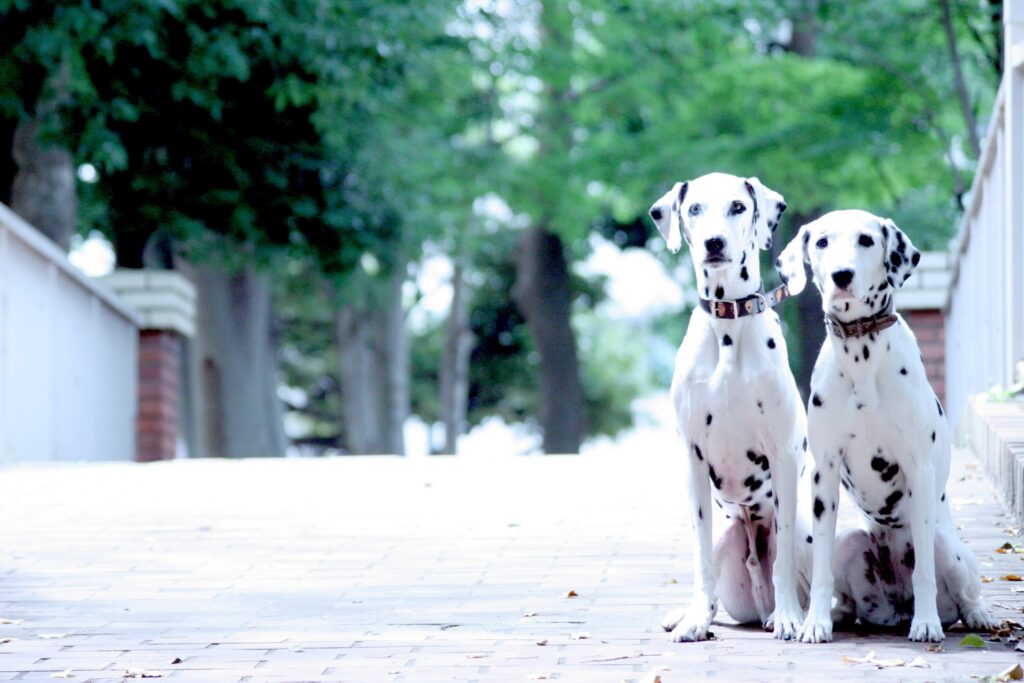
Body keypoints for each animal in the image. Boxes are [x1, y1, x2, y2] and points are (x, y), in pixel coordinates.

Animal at [651, 174, 811, 643]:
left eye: (739, 206)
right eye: (694, 209)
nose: (714, 242)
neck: (727, 328)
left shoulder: (783, 454)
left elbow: (784, 558)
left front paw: (790, 618)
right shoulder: (693, 460)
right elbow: (699, 556)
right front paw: (695, 620)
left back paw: (783, 613)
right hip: (727, 530)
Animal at [774, 206, 991, 643]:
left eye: (866, 239)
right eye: (821, 241)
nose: (841, 275)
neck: (862, 354)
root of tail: (894, 609)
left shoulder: (919, 469)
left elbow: (924, 572)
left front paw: (926, 624)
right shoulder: (824, 472)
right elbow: (820, 572)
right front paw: (815, 622)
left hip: (951, 550)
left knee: (962, 593)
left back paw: (971, 616)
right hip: (847, 540)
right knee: (844, 589)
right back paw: (838, 614)